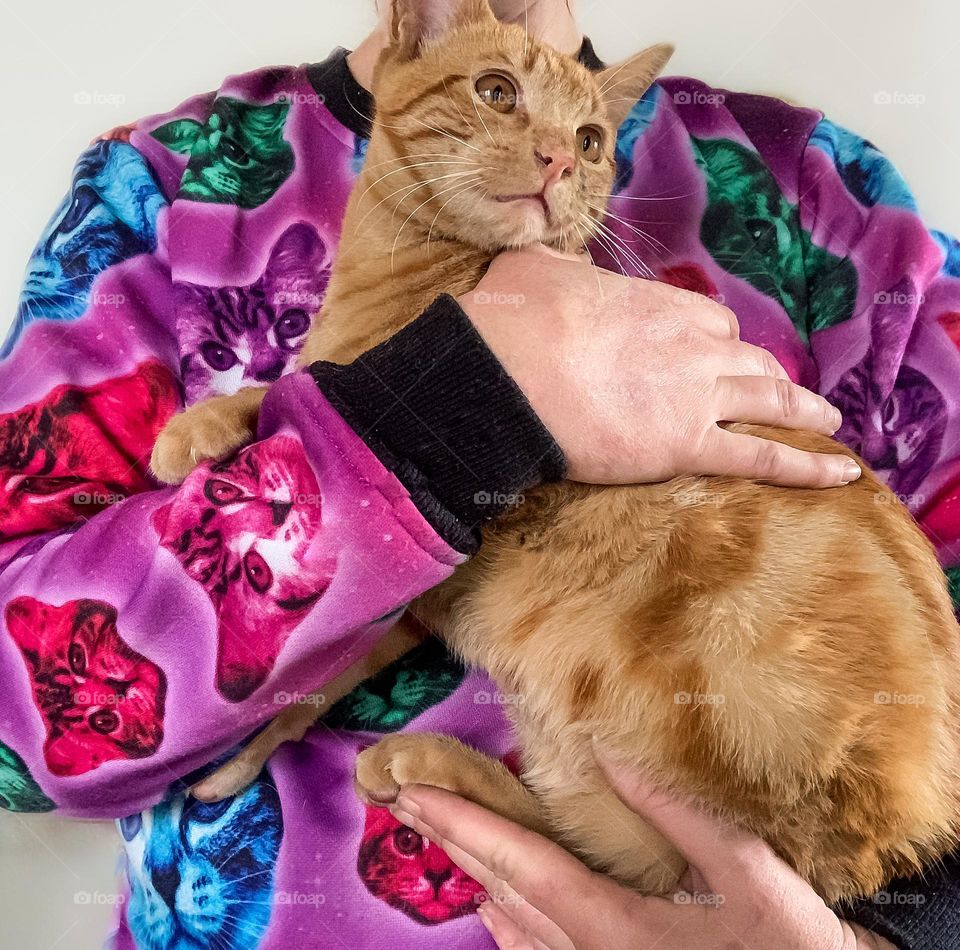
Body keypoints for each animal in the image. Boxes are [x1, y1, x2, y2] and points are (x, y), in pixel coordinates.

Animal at [150, 0, 960, 908]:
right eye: (497, 91)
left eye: (593, 139)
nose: (559, 159)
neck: (407, 281)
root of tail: (898, 840)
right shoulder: (410, 604)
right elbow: (303, 401)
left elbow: (307, 396)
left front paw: (198, 425)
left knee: (628, 866)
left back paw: (427, 763)